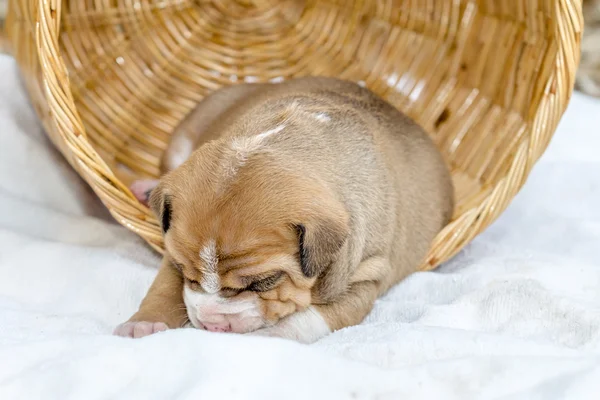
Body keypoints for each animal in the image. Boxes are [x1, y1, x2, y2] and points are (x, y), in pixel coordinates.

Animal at [113, 76, 454, 342]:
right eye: (188, 273)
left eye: (263, 282)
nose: (212, 324)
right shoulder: (174, 251)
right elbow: (164, 285)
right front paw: (143, 323)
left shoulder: (366, 278)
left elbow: (314, 317)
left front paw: (269, 336)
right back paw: (146, 188)